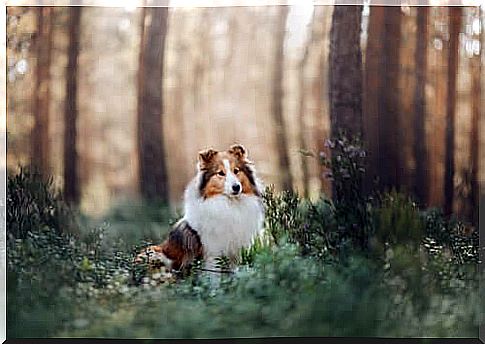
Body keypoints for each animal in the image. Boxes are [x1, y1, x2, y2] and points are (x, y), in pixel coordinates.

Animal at [135, 144, 264, 278]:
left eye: (236, 171)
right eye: (220, 173)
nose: (236, 187)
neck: (229, 204)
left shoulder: (235, 252)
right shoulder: (212, 252)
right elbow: (213, 277)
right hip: (154, 254)